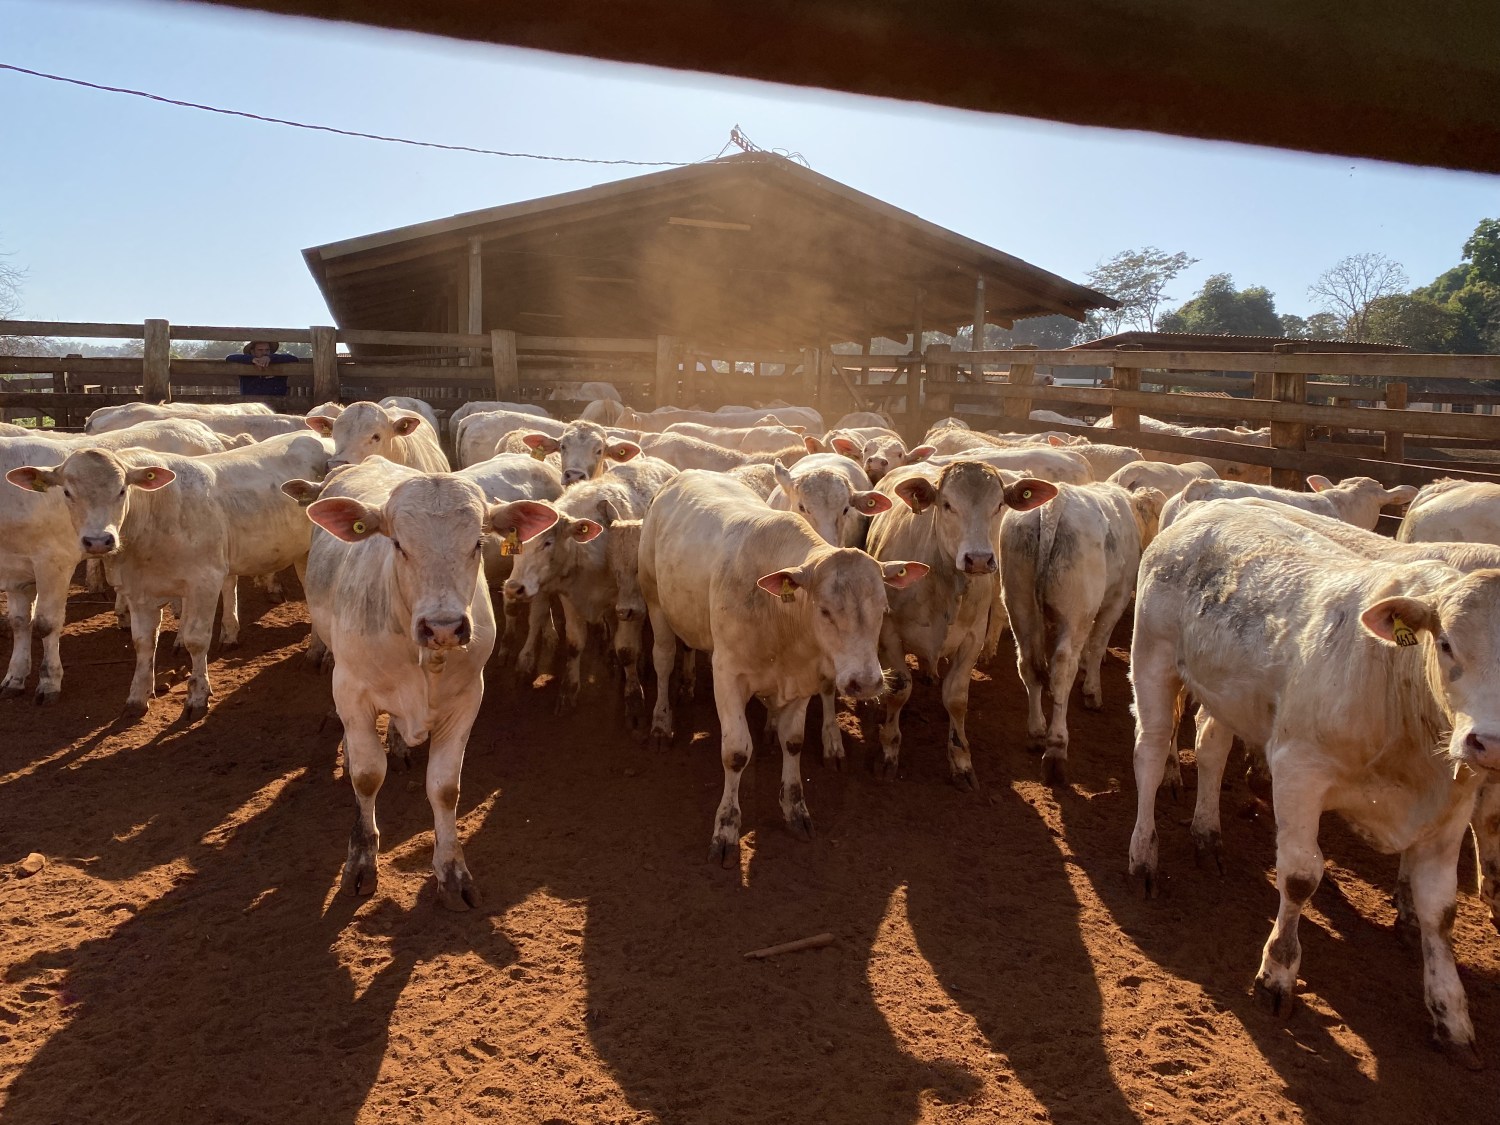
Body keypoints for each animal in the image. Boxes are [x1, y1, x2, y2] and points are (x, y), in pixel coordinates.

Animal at [306, 456, 564, 906]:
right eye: (398, 544)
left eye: (478, 543)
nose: (443, 626)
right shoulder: (352, 690)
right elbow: (367, 776)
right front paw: (361, 861)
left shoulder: (467, 698)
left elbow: (445, 788)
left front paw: (452, 871)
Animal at [642, 471, 924, 870]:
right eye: (824, 610)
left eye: (883, 608)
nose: (866, 682)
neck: (779, 612)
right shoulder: (727, 675)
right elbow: (735, 753)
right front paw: (726, 829)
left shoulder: (803, 678)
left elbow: (793, 742)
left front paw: (795, 808)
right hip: (654, 601)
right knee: (664, 659)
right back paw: (661, 722)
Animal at [864, 462, 1062, 786]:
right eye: (947, 504)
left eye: (999, 505)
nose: (978, 559)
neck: (943, 583)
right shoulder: (889, 633)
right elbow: (899, 690)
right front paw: (889, 750)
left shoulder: (972, 638)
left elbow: (956, 699)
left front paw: (961, 760)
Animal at [1002, 483, 1164, 786]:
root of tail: (1053, 504)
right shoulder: (1116, 599)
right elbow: (1098, 643)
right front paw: (1091, 690)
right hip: (1075, 612)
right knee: (1063, 668)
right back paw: (1056, 750)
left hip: (1019, 605)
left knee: (1028, 664)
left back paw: (1036, 731)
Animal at [1128, 507, 1500, 1062]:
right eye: (1447, 643)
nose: (1489, 743)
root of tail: (1207, 509)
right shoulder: (1298, 768)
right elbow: (1302, 877)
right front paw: (1277, 974)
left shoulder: (1449, 811)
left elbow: (1441, 913)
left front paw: (1451, 1014)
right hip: (1152, 661)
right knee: (1151, 754)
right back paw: (1144, 856)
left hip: (1227, 695)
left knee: (1211, 747)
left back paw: (1207, 836)